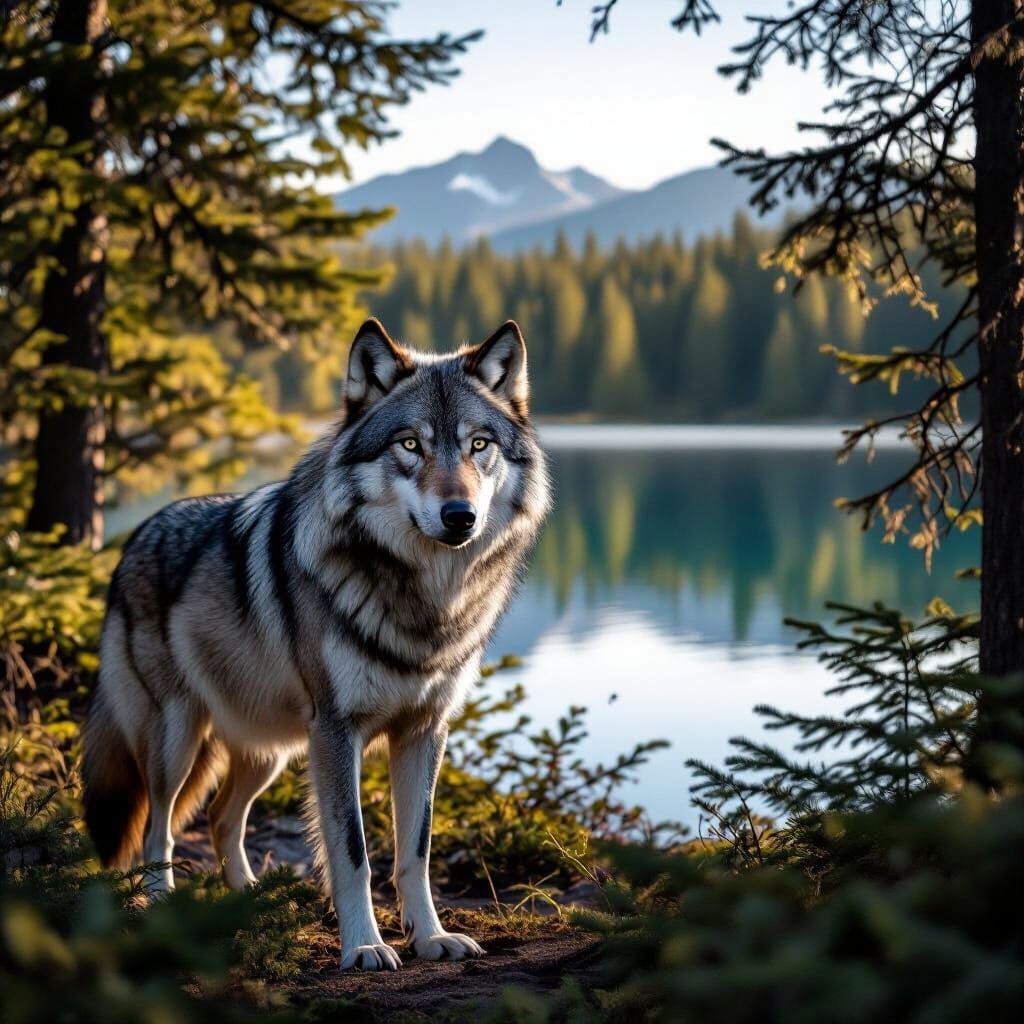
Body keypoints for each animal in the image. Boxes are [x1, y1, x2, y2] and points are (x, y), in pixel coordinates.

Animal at [81, 318, 550, 970]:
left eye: (479, 445)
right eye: (410, 445)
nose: (460, 516)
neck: (423, 599)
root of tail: (135, 538)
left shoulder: (424, 731)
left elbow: (417, 850)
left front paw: (431, 937)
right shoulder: (336, 731)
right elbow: (352, 852)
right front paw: (365, 946)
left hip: (269, 750)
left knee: (222, 820)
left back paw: (251, 902)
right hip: (178, 739)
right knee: (160, 827)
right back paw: (165, 906)